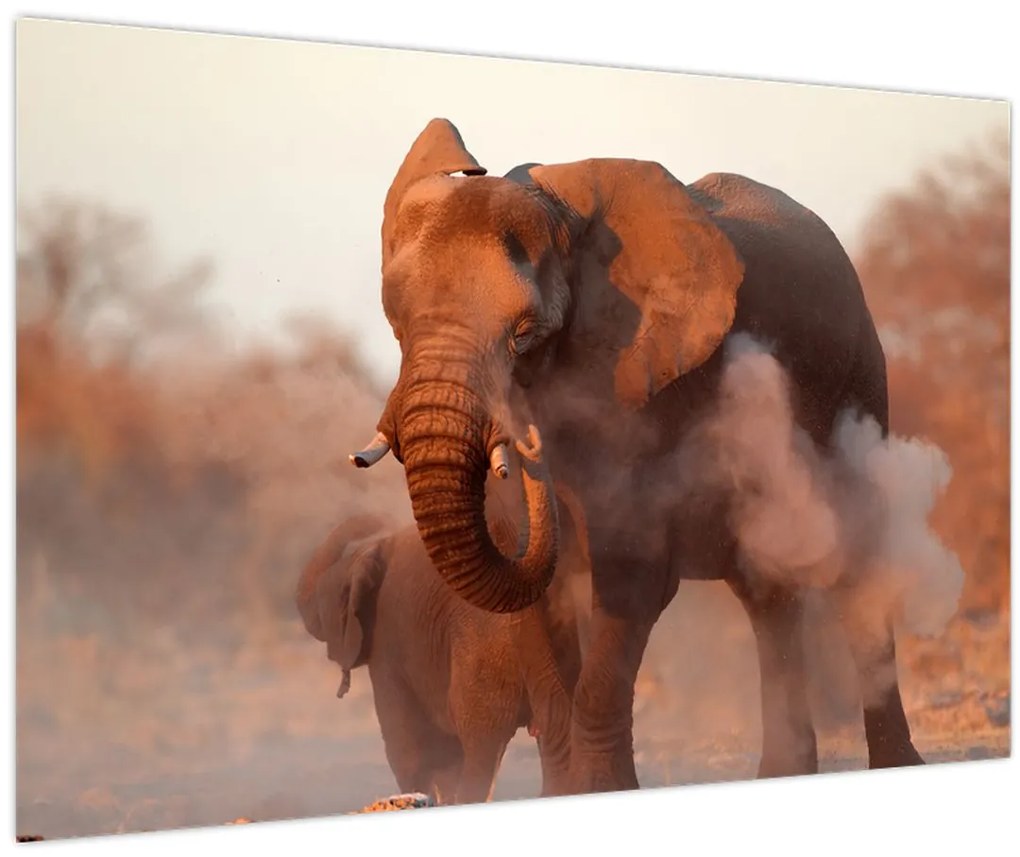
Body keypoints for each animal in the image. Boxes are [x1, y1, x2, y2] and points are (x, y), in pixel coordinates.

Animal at [295, 449, 591, 805]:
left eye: (323, 603)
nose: (354, 461)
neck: (370, 552)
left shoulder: (388, 644)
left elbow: (408, 748)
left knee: (481, 744)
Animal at [347, 117, 926, 794]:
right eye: (397, 323)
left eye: (525, 335)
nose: (529, 443)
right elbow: (537, 601)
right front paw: (563, 793)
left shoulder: (650, 387)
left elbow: (633, 579)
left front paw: (601, 791)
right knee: (766, 591)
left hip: (858, 382)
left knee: (858, 566)